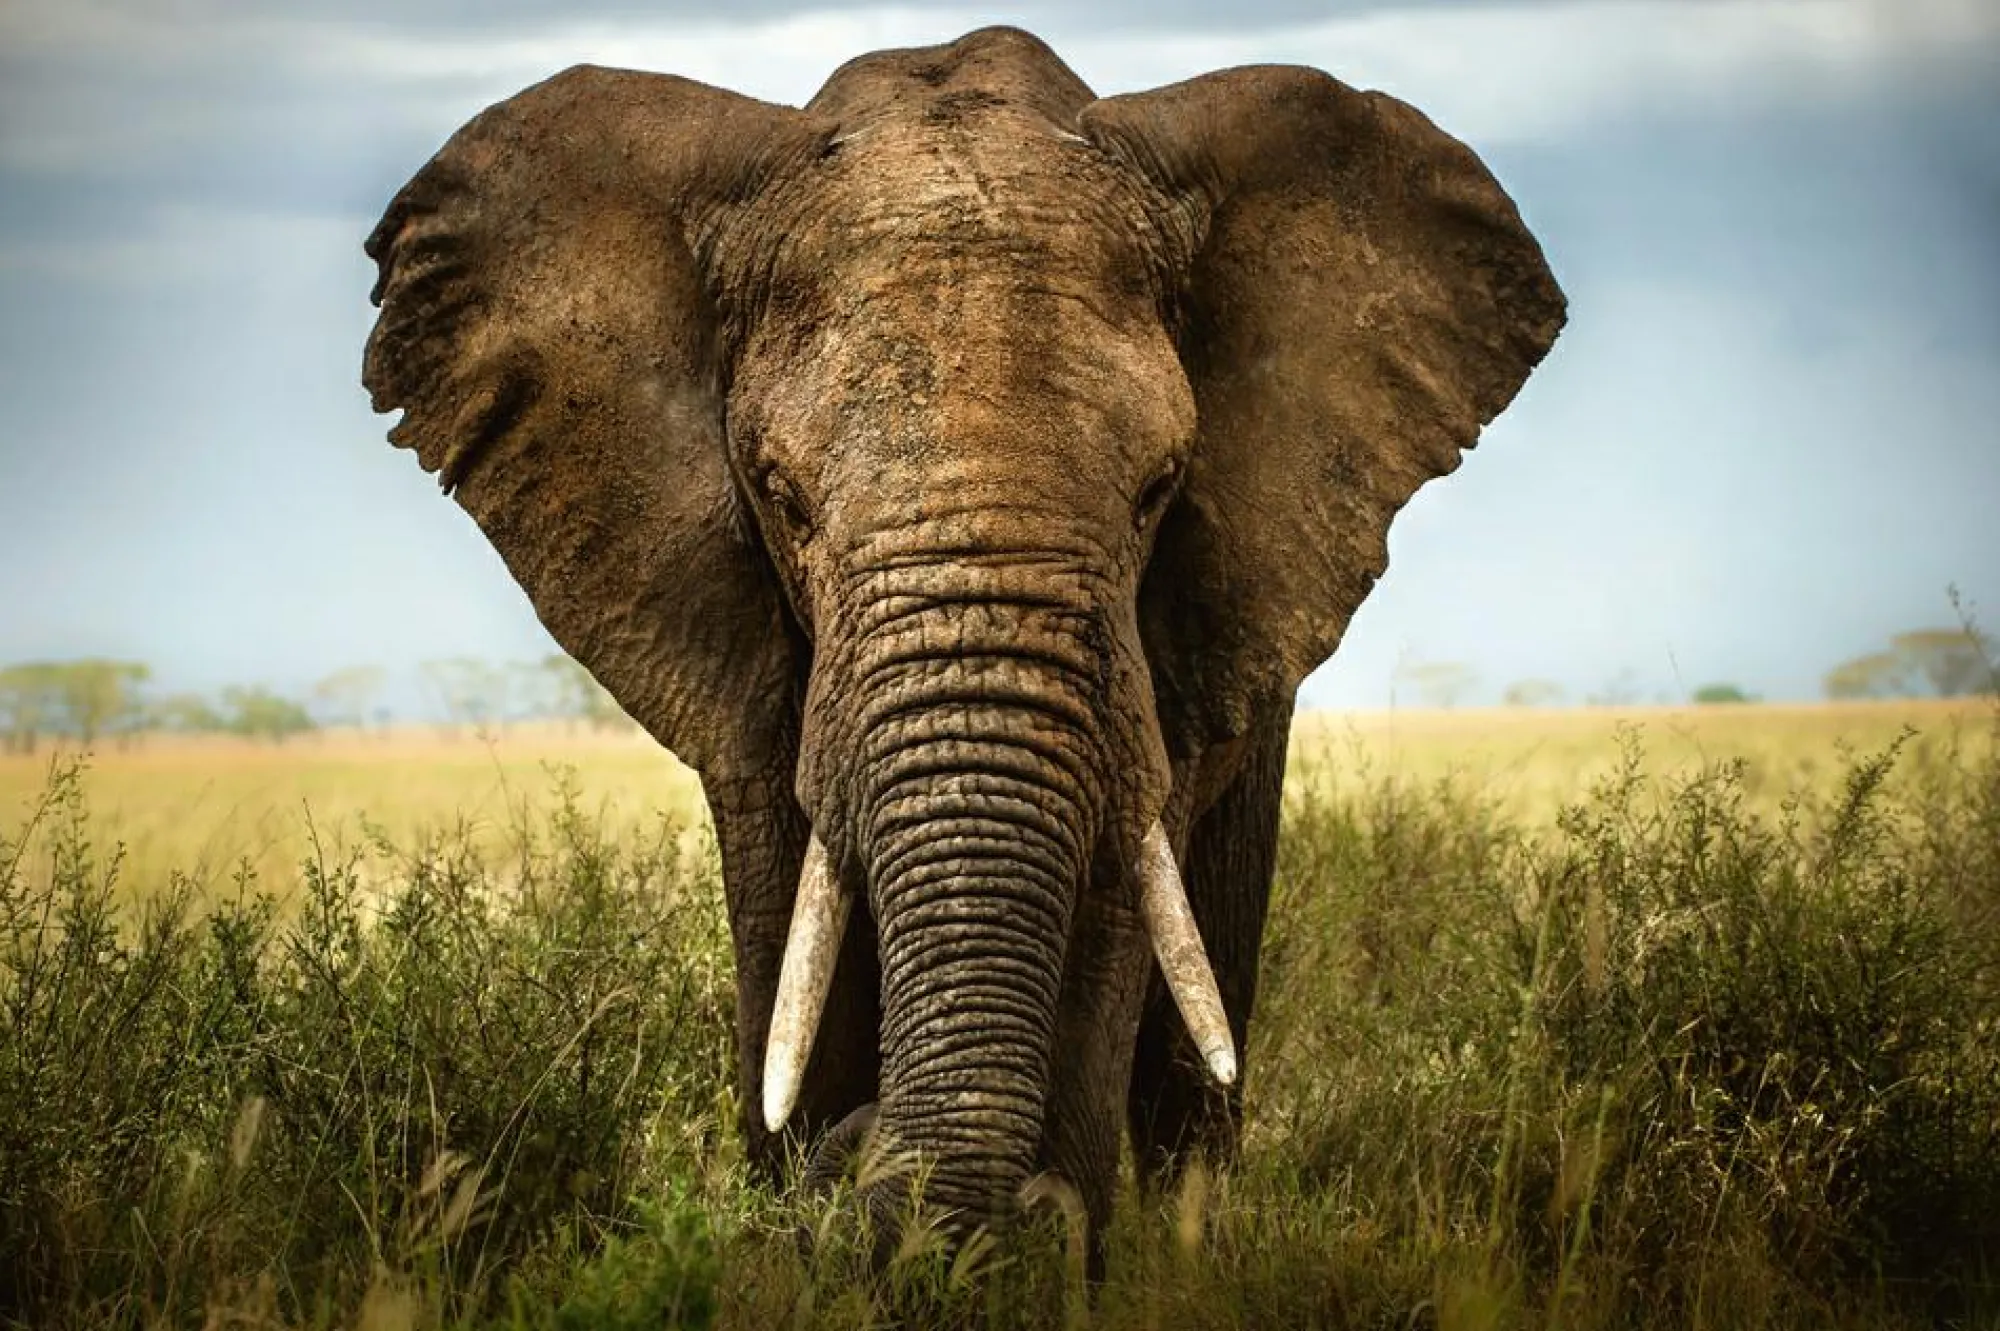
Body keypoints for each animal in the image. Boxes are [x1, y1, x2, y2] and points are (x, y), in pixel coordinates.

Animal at [362, 25, 1564, 1261]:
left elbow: (1112, 907)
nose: (863, 1153)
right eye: (783, 499)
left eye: (1159, 489)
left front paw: (1032, 1245)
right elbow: (789, 918)